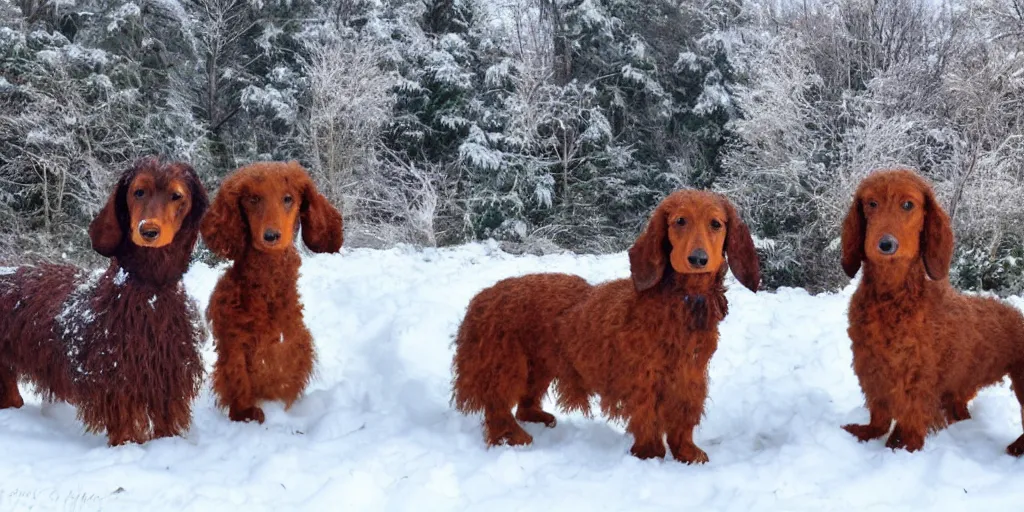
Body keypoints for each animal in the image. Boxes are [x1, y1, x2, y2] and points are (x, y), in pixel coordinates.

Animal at [0, 157, 207, 446]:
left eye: (176, 195)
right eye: (138, 192)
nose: (148, 231)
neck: (149, 291)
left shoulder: (166, 388)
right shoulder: (116, 391)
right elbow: (124, 434)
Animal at [200, 160, 344, 423]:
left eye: (288, 199)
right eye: (253, 199)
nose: (271, 236)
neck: (266, 286)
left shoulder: (291, 343)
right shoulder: (233, 338)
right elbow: (237, 375)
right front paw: (245, 412)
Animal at [454, 190, 761, 462]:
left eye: (716, 223)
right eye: (680, 221)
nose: (698, 259)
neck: (680, 300)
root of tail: (484, 295)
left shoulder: (689, 376)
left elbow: (683, 418)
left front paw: (687, 452)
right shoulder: (643, 377)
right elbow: (647, 417)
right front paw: (650, 454)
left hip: (538, 363)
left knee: (523, 405)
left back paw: (536, 418)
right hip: (507, 363)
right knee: (497, 407)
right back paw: (512, 436)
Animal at [835, 168, 1024, 456]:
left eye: (907, 205)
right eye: (871, 203)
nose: (885, 245)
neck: (892, 299)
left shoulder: (918, 377)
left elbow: (911, 418)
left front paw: (902, 447)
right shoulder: (872, 367)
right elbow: (879, 416)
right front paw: (864, 433)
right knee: (960, 410)